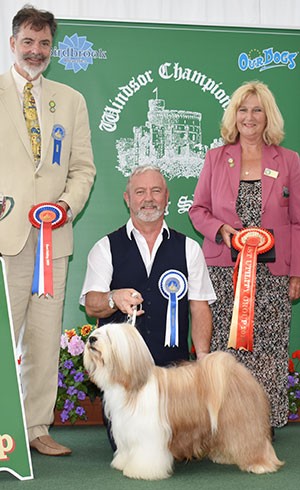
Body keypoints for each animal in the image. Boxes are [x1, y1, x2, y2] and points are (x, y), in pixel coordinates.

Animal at [84, 324, 284, 480]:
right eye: (98, 331)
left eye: (108, 335)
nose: (92, 338)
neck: (132, 386)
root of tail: (237, 371)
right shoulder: (126, 430)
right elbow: (126, 450)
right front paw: (123, 463)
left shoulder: (149, 435)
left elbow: (147, 455)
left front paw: (141, 471)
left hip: (243, 423)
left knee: (253, 442)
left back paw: (260, 465)